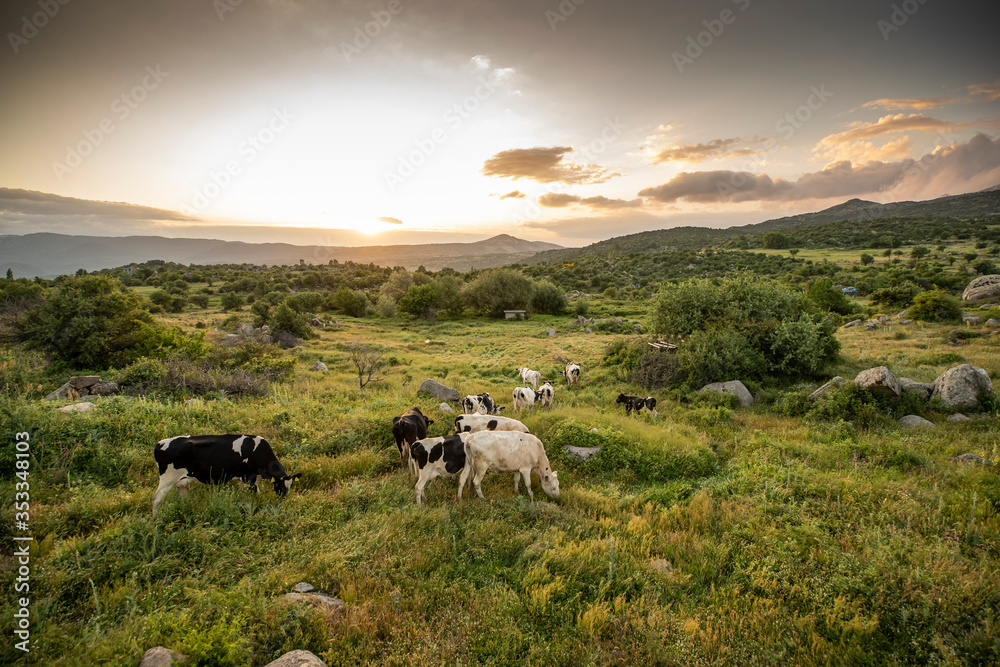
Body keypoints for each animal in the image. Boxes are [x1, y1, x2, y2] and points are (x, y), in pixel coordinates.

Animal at [152, 434, 300, 513]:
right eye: (281, 486)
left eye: (291, 486)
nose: (283, 499)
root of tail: (160, 443)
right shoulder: (249, 478)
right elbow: (257, 495)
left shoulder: (243, 480)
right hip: (167, 480)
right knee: (157, 499)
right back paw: (156, 519)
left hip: (181, 482)